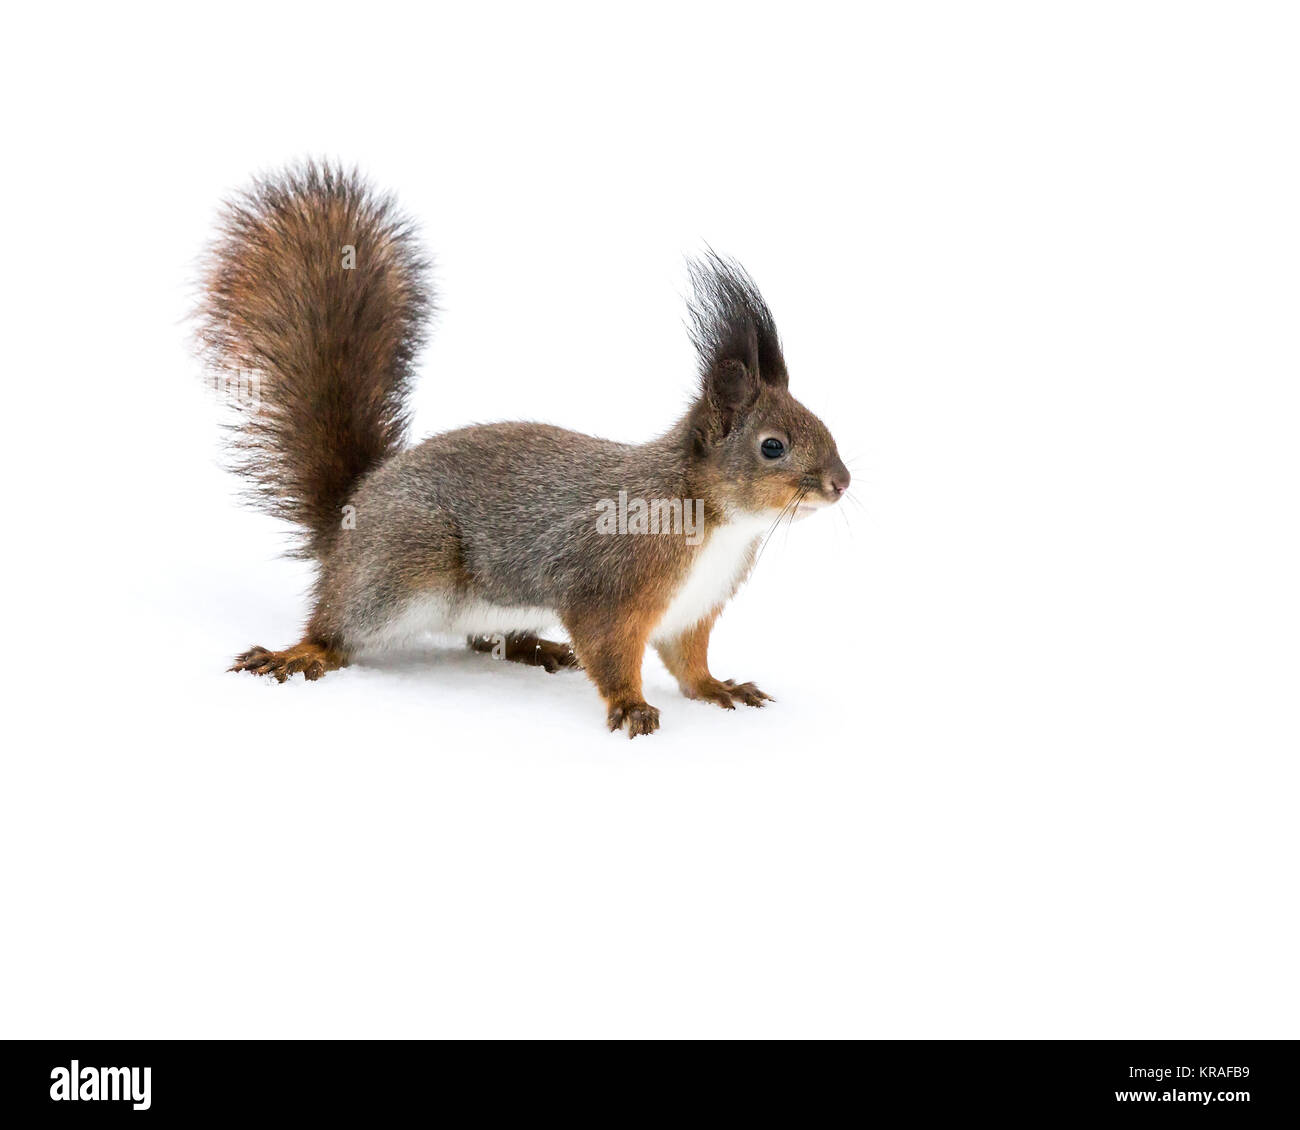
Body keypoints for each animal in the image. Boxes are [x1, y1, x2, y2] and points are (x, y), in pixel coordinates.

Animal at [197, 161, 850, 737]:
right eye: (773, 446)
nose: (840, 484)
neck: (717, 519)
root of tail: (350, 517)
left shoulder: (692, 609)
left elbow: (688, 664)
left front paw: (718, 688)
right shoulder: (611, 583)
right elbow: (609, 649)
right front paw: (630, 705)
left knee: (479, 637)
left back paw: (533, 646)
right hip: (404, 561)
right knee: (339, 625)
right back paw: (304, 651)